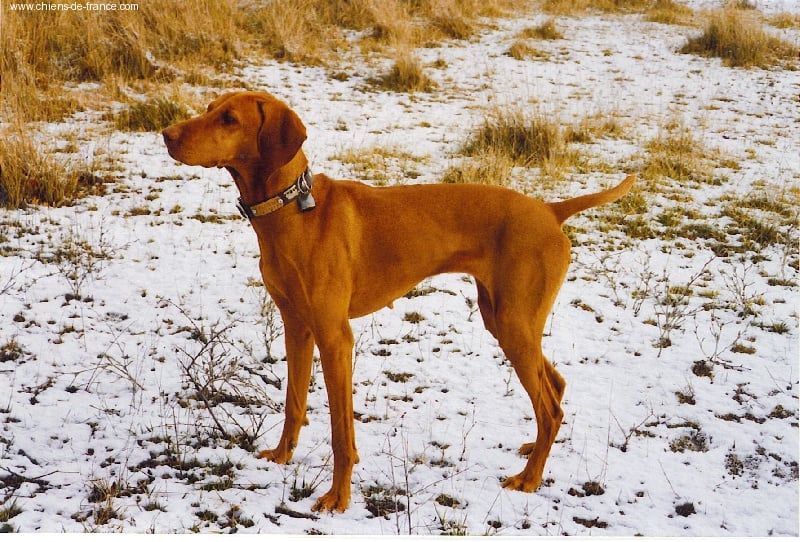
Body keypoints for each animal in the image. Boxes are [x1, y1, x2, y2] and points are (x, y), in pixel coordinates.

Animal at [164, 90, 636, 516]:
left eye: (229, 119)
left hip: (513, 323)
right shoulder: (296, 326)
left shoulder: (335, 338)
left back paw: (529, 478)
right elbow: (293, 402)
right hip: (503, 318)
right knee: (554, 385)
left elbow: (341, 432)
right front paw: (282, 457)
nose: (166, 134)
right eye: (209, 108)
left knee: (550, 406)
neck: (292, 211)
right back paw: (531, 448)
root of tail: (550, 210)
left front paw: (338, 499)